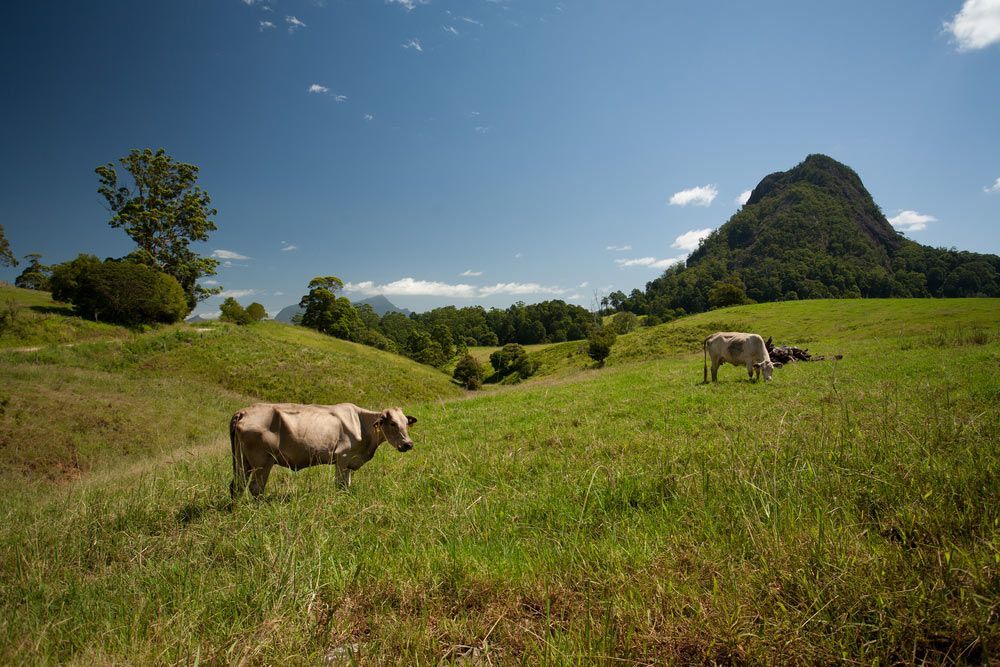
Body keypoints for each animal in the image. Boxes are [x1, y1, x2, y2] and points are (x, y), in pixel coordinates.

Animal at [229, 403, 417, 497]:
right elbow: (340, 485)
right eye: (392, 423)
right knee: (255, 488)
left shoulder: (349, 462)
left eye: (406, 422)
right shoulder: (342, 457)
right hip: (262, 461)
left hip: (242, 460)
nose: (408, 444)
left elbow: (347, 485)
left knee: (237, 486)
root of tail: (244, 411)